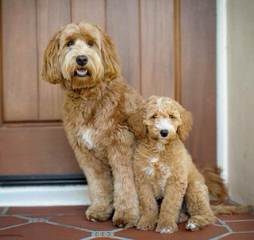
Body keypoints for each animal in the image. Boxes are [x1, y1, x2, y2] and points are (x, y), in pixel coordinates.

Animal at [41, 22, 143, 227]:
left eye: (91, 43)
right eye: (69, 43)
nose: (81, 59)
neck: (88, 95)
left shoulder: (121, 147)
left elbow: (125, 184)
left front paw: (126, 216)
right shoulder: (86, 154)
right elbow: (99, 184)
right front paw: (100, 210)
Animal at [133, 96, 214, 233]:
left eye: (172, 116)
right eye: (154, 116)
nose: (164, 132)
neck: (160, 149)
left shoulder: (175, 180)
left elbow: (169, 204)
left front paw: (166, 225)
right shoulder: (143, 179)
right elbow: (148, 203)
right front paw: (147, 222)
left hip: (194, 188)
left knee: (208, 215)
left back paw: (194, 223)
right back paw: (178, 217)